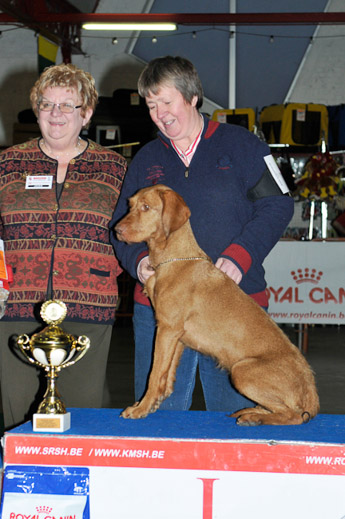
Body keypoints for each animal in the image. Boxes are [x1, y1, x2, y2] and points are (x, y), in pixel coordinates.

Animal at [114, 185, 318, 424]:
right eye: (130, 205)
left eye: (146, 207)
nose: (116, 230)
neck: (174, 259)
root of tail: (311, 389)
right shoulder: (177, 336)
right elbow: (166, 376)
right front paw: (152, 404)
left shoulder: (166, 329)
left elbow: (154, 375)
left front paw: (140, 408)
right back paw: (249, 412)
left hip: (242, 371)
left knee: (294, 415)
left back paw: (254, 418)